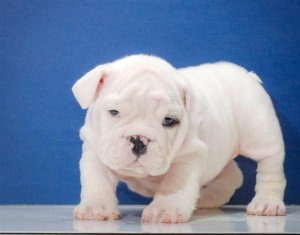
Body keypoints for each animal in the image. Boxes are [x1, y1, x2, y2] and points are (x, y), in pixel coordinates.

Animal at [72, 54, 286, 223]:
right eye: (113, 112)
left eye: (169, 120)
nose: (139, 139)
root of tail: (248, 75)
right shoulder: (94, 150)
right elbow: (97, 180)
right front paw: (95, 207)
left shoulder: (188, 158)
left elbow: (174, 184)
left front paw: (164, 209)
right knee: (232, 176)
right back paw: (204, 198)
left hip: (260, 135)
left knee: (270, 166)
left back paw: (267, 203)